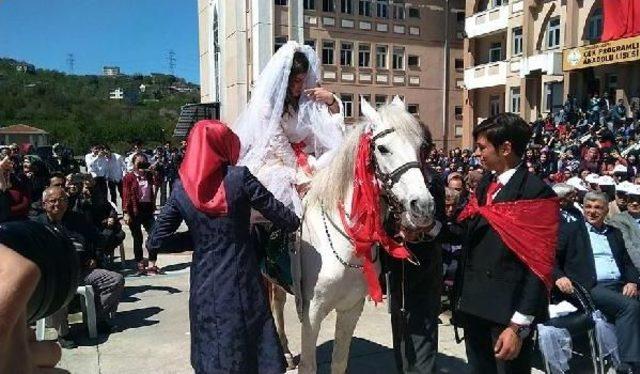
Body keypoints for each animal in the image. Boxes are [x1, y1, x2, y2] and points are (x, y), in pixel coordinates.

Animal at [292, 98, 438, 372]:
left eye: (421, 147)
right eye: (382, 148)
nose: (423, 207)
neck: (347, 242)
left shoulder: (351, 308)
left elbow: (339, 361)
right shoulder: (311, 312)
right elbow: (308, 365)